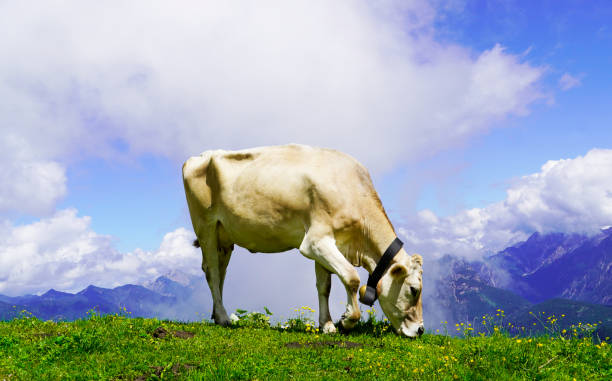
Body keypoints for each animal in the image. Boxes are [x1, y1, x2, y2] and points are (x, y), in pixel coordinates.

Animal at [182, 144, 426, 336]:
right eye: (414, 289)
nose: (421, 330)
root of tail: (199, 156)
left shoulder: (328, 244)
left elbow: (324, 286)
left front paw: (327, 325)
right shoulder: (314, 242)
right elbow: (352, 278)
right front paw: (346, 320)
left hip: (224, 236)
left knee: (220, 271)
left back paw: (217, 314)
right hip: (205, 226)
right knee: (212, 271)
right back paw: (223, 317)